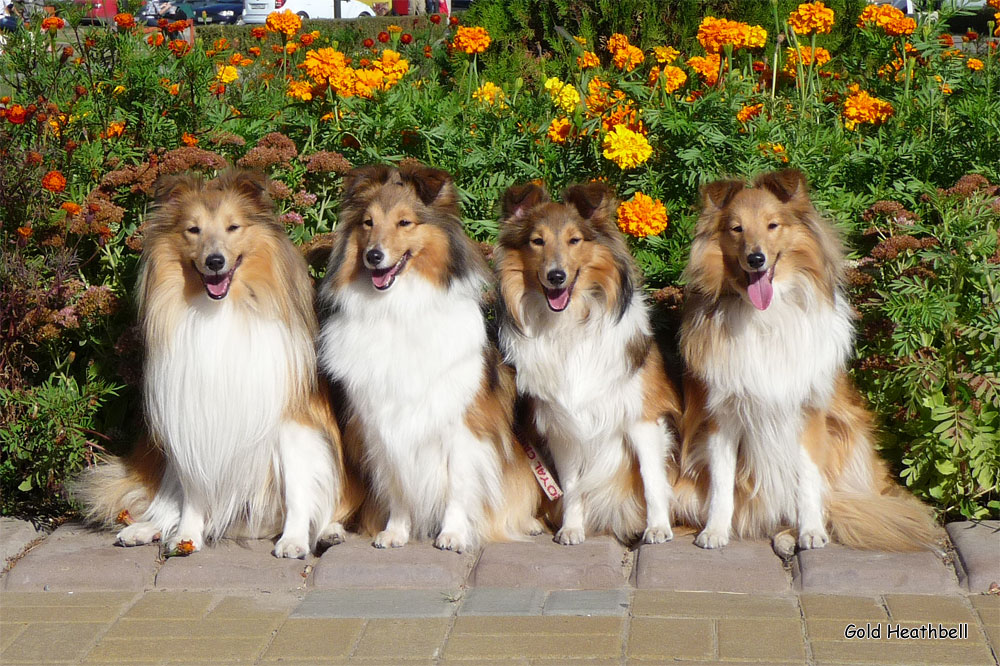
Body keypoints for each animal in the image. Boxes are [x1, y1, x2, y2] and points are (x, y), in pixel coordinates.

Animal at [75, 167, 356, 556]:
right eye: (193, 230)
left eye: (233, 227)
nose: (215, 261)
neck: (221, 311)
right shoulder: (192, 420)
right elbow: (192, 495)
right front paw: (187, 537)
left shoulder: (294, 422)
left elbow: (300, 488)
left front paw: (295, 540)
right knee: (167, 503)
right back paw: (147, 530)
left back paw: (328, 532)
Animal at [318, 162, 540, 548]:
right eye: (367, 223)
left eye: (405, 222)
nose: (373, 256)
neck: (398, 309)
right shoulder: (380, 428)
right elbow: (397, 487)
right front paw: (395, 531)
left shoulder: (462, 425)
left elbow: (458, 486)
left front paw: (453, 534)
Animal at [490, 182, 680, 544]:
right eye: (537, 241)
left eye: (574, 240)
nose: (556, 276)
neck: (569, 325)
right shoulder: (562, 428)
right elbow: (571, 484)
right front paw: (572, 528)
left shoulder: (643, 418)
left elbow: (652, 480)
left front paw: (658, 527)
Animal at [676, 169, 940, 552]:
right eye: (736, 228)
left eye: (773, 225)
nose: (756, 259)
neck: (766, 316)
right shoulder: (720, 414)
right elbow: (722, 482)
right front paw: (715, 531)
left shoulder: (810, 412)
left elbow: (807, 481)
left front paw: (811, 530)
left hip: (852, 440)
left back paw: (792, 534)